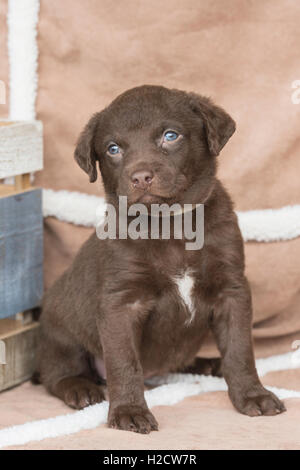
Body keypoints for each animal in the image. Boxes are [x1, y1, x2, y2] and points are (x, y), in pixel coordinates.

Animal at [37, 85, 286, 434]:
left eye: (170, 135)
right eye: (113, 149)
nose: (141, 177)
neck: (169, 225)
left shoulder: (232, 290)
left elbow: (240, 350)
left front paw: (253, 395)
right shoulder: (121, 303)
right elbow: (124, 362)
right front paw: (129, 411)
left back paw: (208, 364)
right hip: (60, 330)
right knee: (57, 372)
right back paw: (81, 389)